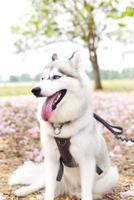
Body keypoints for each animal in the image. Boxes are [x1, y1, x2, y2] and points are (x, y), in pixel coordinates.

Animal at [9, 52, 118, 200]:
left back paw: (79, 193)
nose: (35, 90)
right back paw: (24, 190)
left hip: (111, 177)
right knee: (41, 182)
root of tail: (68, 188)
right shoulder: (51, 160)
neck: (60, 126)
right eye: (42, 78)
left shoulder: (87, 162)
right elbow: (48, 190)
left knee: (89, 191)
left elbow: (87, 192)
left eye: (56, 77)